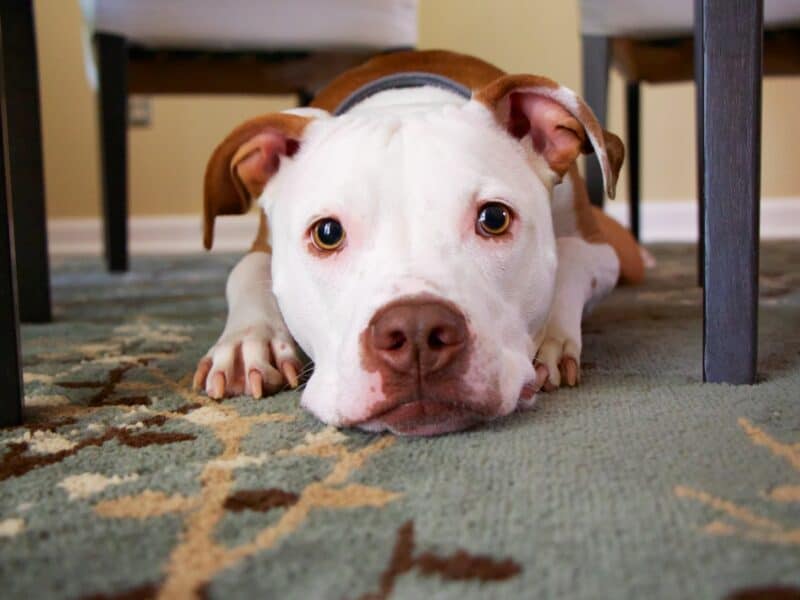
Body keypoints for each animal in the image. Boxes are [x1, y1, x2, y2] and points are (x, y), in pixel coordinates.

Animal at [192, 50, 644, 436]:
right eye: (327, 233)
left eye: (494, 218)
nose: (416, 331)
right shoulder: (261, 247)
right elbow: (244, 271)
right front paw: (248, 342)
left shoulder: (600, 251)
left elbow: (570, 258)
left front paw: (551, 336)